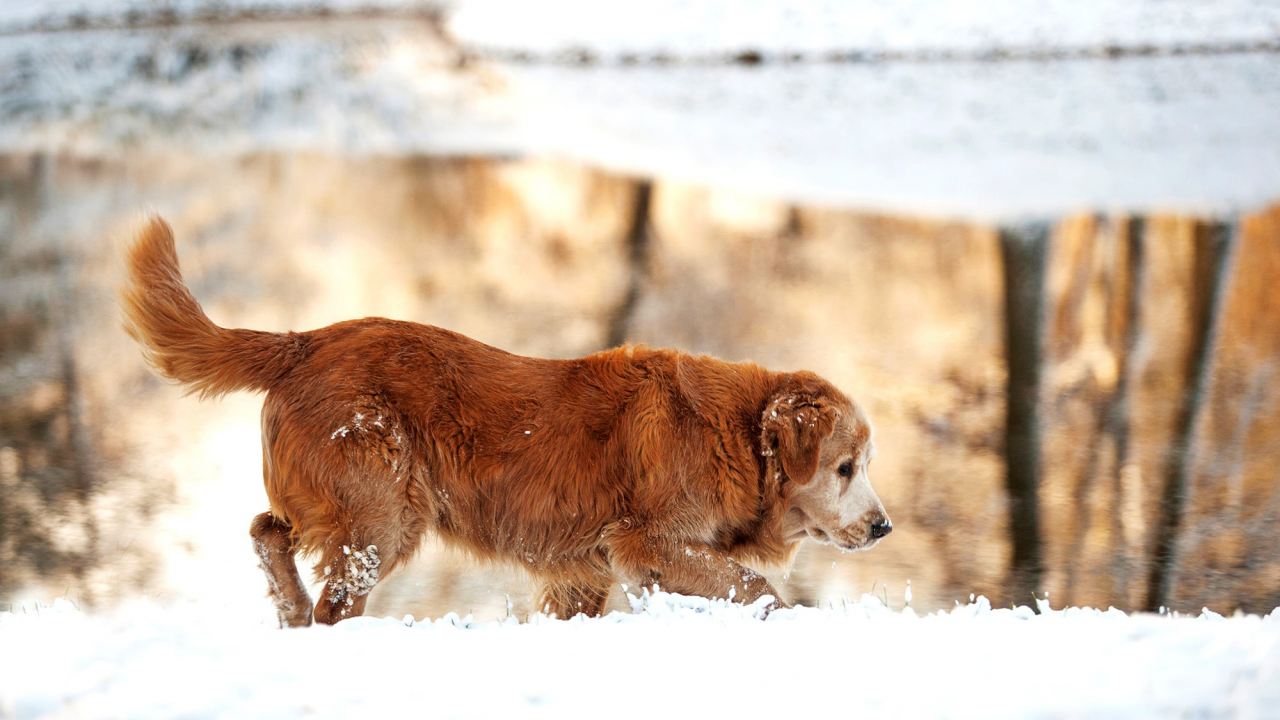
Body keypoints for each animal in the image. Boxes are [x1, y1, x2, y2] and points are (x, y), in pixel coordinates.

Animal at [124, 215, 896, 625]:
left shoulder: (581, 571)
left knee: (267, 530)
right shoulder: (645, 542)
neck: (734, 432)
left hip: (350, 505)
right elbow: (755, 587)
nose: (885, 526)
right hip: (382, 513)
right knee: (332, 597)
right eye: (844, 467)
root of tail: (305, 340)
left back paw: (286, 606)